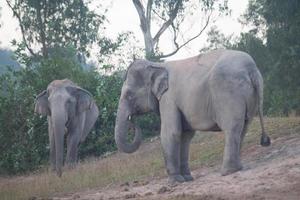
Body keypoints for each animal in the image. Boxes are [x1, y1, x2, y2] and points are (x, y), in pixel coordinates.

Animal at [113, 49, 270, 184]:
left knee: (232, 128)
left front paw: (175, 182)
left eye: (129, 95)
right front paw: (187, 179)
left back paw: (227, 172)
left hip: (228, 92)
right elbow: (185, 135)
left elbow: (171, 133)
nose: (132, 121)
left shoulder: (168, 98)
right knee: (243, 127)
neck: (156, 65)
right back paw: (237, 168)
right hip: (248, 95)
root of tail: (252, 69)